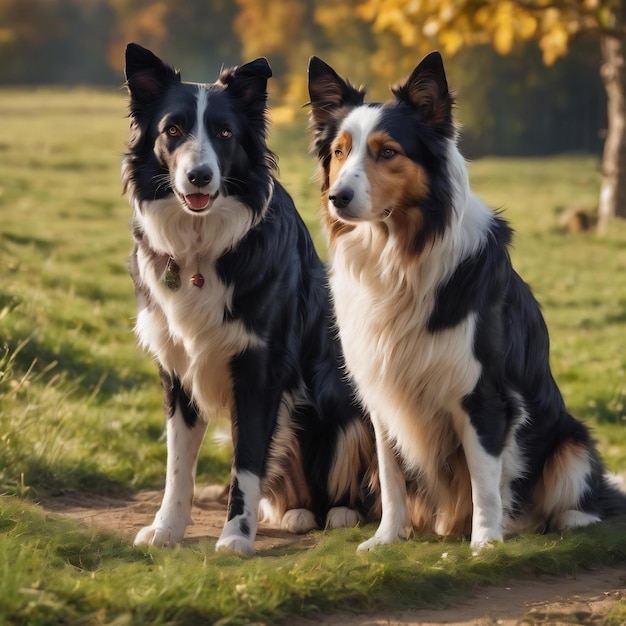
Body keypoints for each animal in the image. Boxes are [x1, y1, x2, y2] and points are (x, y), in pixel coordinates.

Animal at [123, 42, 372, 552]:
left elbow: (248, 463)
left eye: (225, 133)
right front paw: (166, 528)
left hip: (341, 396)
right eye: (172, 130)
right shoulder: (177, 369)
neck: (200, 249)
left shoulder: (260, 369)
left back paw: (340, 512)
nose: (199, 176)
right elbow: (178, 467)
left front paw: (236, 536)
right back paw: (296, 512)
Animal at [308, 51, 624, 548]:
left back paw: (554, 521)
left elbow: (484, 479)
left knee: (579, 496)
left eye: (387, 151)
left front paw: (485, 543)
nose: (338, 197)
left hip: (572, 440)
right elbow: (391, 475)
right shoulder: (382, 392)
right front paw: (386, 538)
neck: (398, 256)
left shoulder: (483, 393)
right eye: (339, 151)